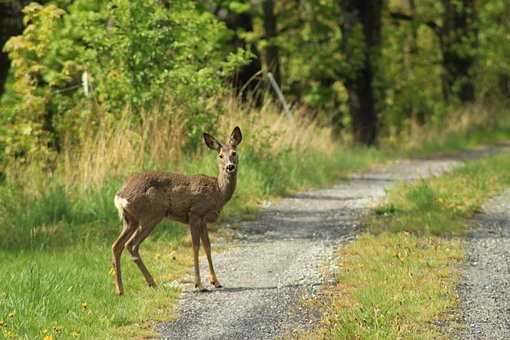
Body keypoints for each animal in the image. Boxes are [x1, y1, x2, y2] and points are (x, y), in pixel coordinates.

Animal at [113, 126, 243, 294]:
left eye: (234, 152)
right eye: (220, 155)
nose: (230, 167)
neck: (218, 191)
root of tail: (120, 196)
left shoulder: (203, 219)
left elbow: (207, 246)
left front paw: (216, 282)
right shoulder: (195, 213)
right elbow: (196, 247)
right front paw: (199, 284)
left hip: (130, 220)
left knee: (117, 245)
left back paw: (121, 290)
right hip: (151, 215)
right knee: (131, 245)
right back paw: (151, 283)